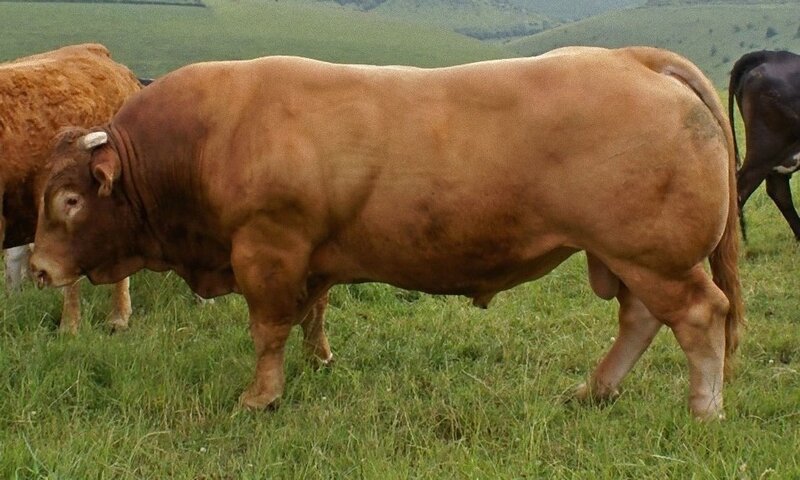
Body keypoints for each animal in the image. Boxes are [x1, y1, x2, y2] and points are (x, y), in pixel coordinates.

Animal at [30, 46, 742, 420]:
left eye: (69, 199)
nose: (36, 267)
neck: (206, 138)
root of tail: (633, 57)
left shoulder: (266, 249)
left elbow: (268, 329)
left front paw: (260, 396)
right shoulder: (311, 256)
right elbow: (312, 312)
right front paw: (318, 360)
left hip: (653, 255)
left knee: (700, 316)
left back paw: (704, 409)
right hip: (627, 255)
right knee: (641, 319)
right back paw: (594, 390)